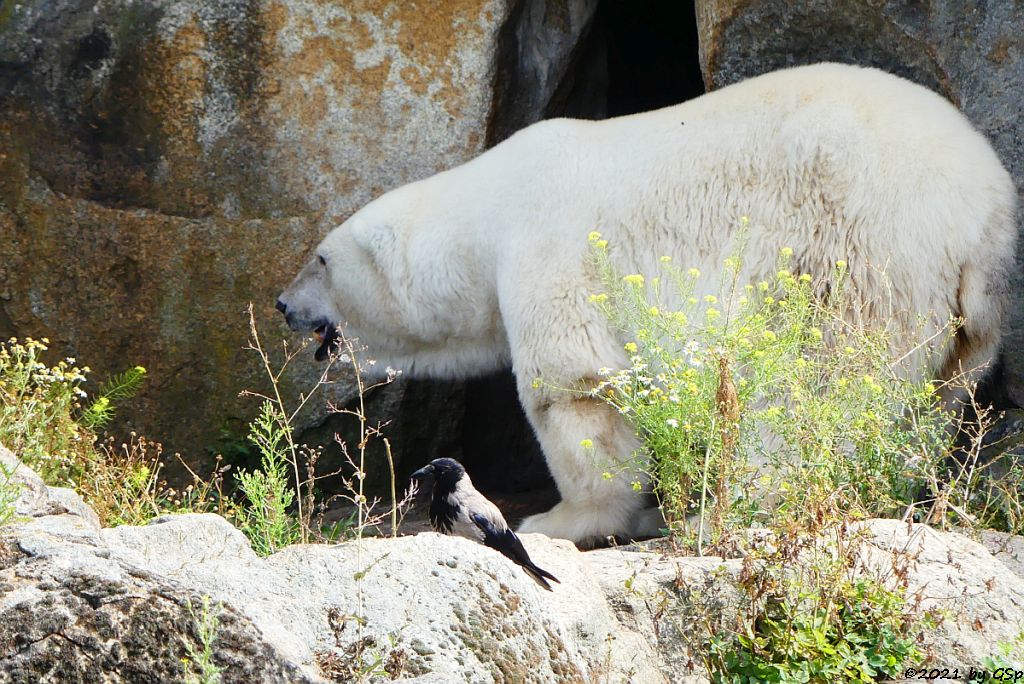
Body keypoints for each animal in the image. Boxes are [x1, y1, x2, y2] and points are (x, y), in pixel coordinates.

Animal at [278, 62, 1015, 544]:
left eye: (320, 258)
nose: (284, 304)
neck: (489, 209)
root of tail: (984, 216)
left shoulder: (552, 246)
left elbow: (577, 390)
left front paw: (555, 520)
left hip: (853, 251)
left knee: (810, 390)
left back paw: (722, 512)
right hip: (962, 320)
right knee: (929, 406)